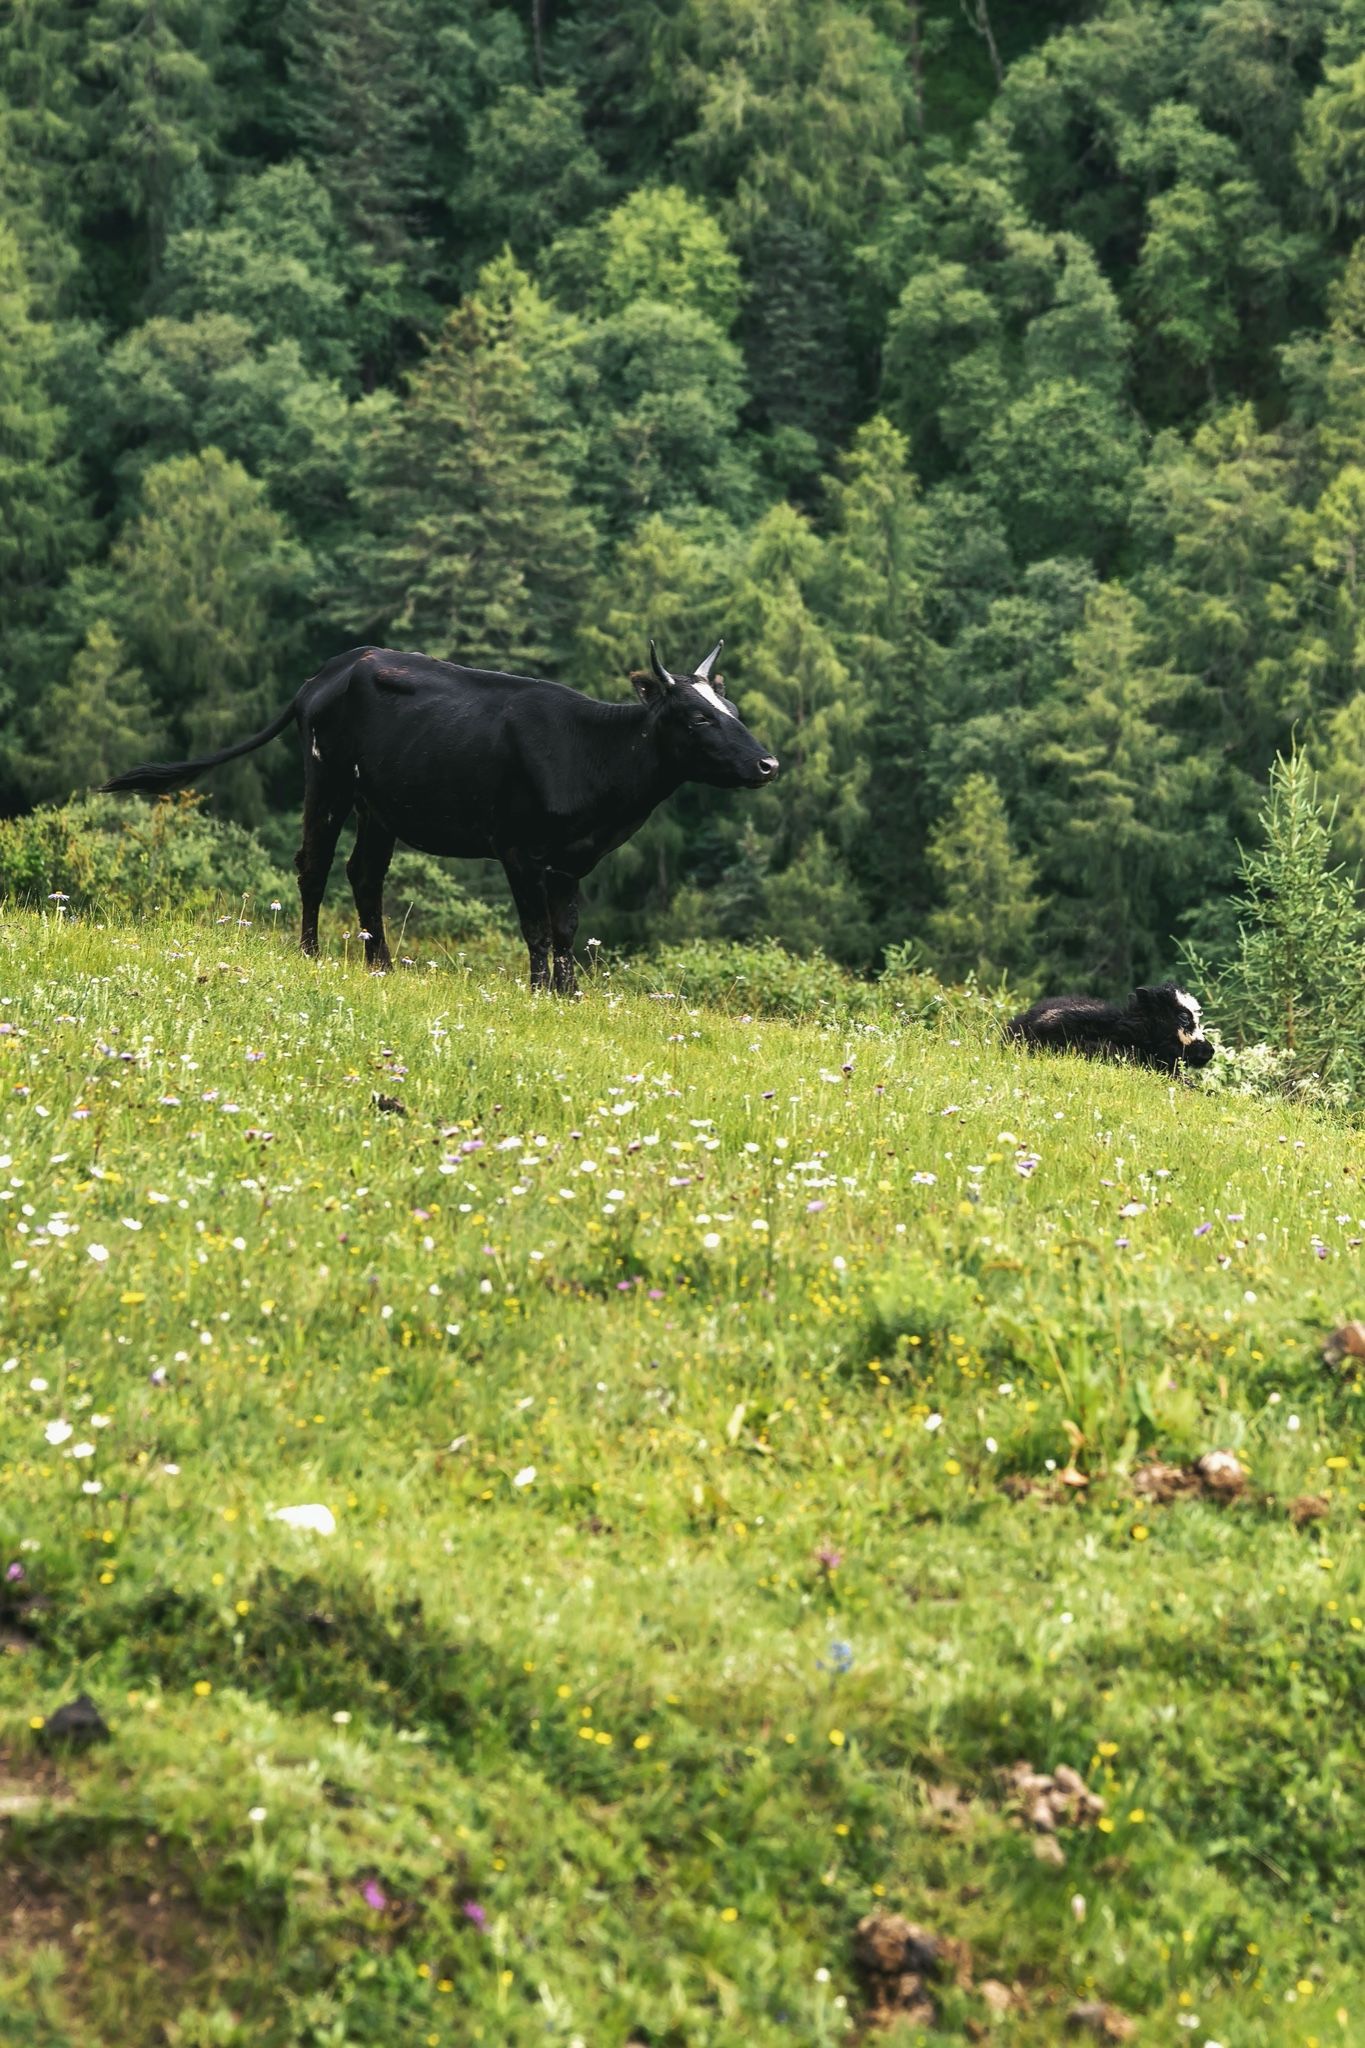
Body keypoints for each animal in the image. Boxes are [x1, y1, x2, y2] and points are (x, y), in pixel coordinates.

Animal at [98, 638, 777, 991]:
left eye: (734, 708)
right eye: (698, 717)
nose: (768, 763)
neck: (595, 759)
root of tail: (332, 668)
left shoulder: (572, 860)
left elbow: (566, 930)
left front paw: (571, 994)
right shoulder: (517, 848)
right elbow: (535, 928)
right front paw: (539, 991)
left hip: (379, 805)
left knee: (364, 874)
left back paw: (381, 963)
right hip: (327, 780)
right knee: (313, 864)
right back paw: (312, 953)